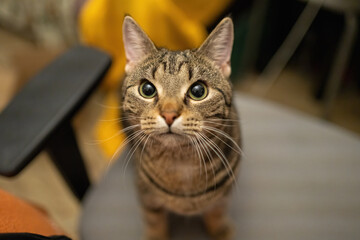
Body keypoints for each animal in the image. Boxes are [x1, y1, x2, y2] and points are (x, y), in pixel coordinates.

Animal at [120, 16, 242, 240]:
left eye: (198, 91)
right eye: (147, 89)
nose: (169, 114)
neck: (181, 163)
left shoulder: (224, 194)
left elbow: (217, 211)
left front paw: (220, 230)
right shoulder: (146, 194)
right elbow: (154, 220)